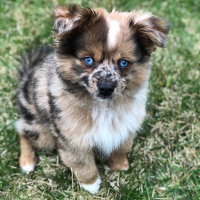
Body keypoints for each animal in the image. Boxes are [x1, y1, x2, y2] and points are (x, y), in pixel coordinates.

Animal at [15, 5, 169, 194]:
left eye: (124, 63)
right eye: (88, 60)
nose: (106, 88)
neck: (104, 106)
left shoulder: (126, 125)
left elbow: (122, 147)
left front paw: (119, 165)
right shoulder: (73, 139)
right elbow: (83, 163)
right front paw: (91, 185)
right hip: (43, 134)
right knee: (23, 131)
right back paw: (27, 162)